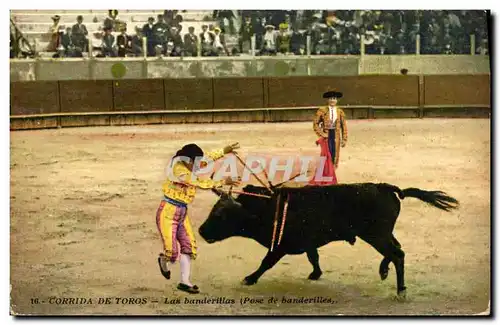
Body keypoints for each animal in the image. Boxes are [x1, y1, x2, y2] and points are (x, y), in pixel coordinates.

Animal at [199, 182, 460, 296]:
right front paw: (316, 274)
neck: (265, 207)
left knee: (396, 254)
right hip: (382, 234)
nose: (201, 231)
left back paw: (400, 288)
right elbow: (313, 257)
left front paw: (249, 278)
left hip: (376, 235)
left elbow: (266, 262)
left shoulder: (280, 246)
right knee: (397, 252)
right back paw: (384, 272)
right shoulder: (307, 242)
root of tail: (384, 187)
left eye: (220, 214)